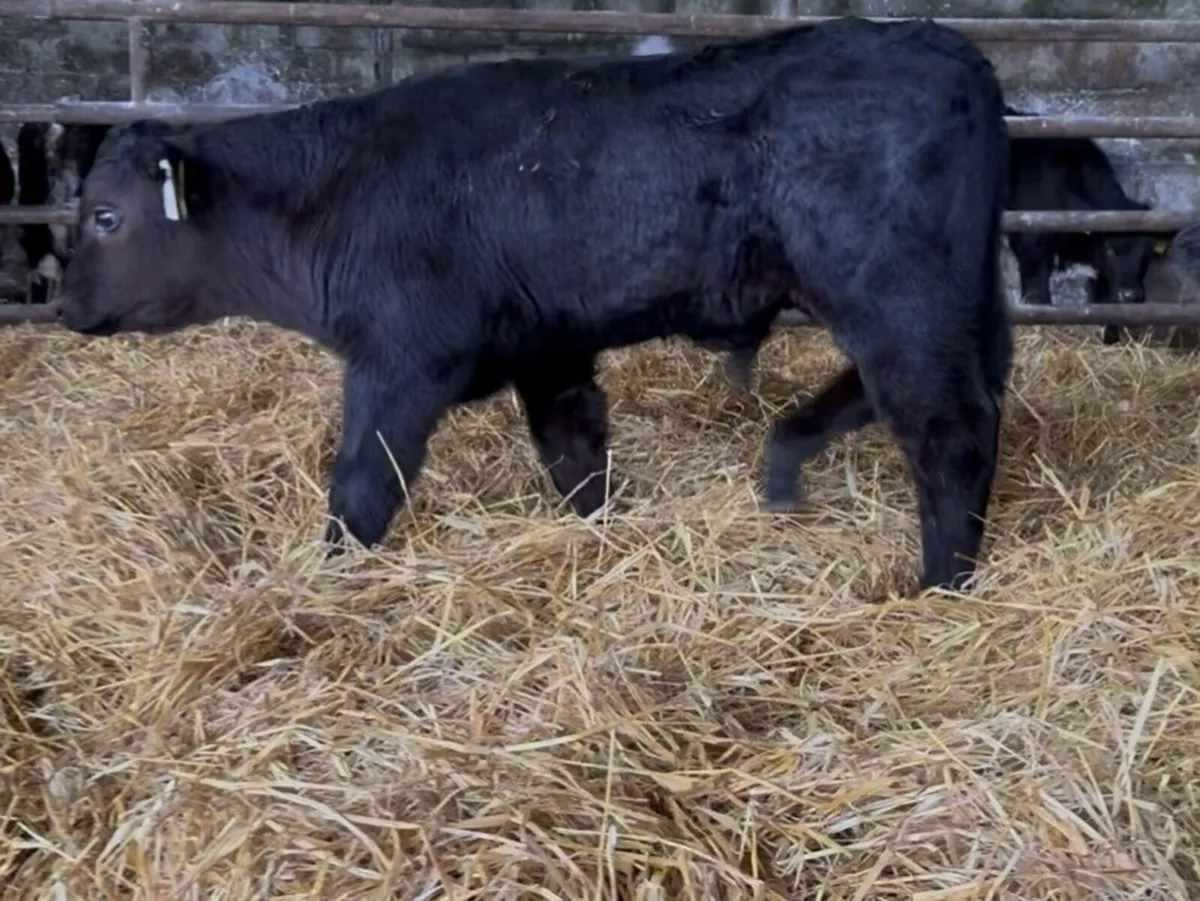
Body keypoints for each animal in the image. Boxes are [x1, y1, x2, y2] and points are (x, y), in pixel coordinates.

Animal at [52, 17, 1013, 594]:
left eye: (105, 216)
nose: (62, 306)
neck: (337, 190)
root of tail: (948, 46)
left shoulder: (400, 362)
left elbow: (362, 487)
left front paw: (328, 585)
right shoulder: (550, 349)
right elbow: (576, 456)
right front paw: (606, 539)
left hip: (896, 297)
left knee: (948, 430)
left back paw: (941, 581)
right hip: (953, 301)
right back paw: (792, 457)